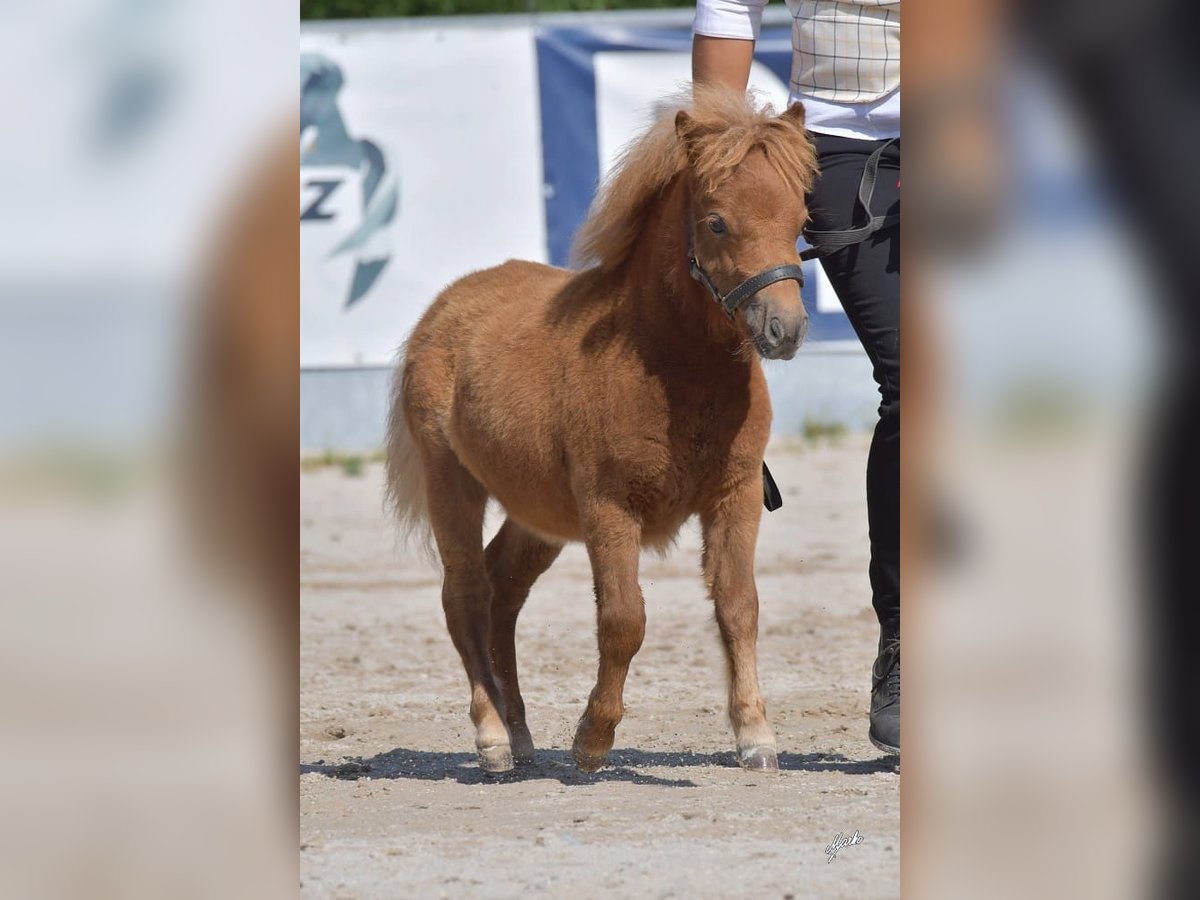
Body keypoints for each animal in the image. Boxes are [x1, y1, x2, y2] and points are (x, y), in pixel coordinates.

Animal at [384, 93, 816, 782]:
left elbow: (738, 606)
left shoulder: (736, 495)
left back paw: (521, 733)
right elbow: (623, 619)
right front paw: (593, 739)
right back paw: (492, 736)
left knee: (503, 593)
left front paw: (756, 737)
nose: (786, 329)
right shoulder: (610, 508)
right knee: (466, 595)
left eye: (800, 217)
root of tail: (444, 306)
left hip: (537, 514)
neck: (671, 367)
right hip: (451, 484)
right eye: (717, 223)